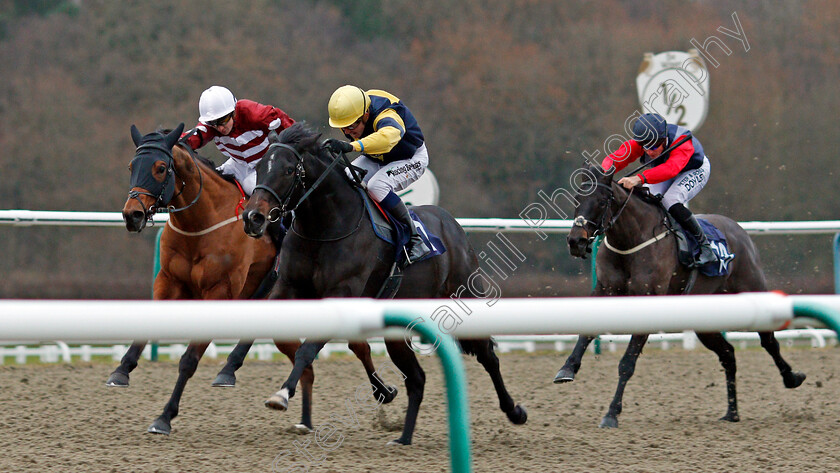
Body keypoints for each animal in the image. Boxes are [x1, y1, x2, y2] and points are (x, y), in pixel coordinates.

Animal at [110, 125, 394, 436]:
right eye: (131, 166)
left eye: (160, 168)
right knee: (313, 364)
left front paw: (165, 417)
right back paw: (306, 419)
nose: (132, 214)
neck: (202, 225)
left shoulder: (219, 292)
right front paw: (122, 370)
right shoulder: (169, 281)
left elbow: (189, 360)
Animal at [240, 123, 524, 444]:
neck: (325, 228)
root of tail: (452, 224)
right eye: (259, 167)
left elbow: (307, 349)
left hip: (464, 292)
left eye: (289, 170)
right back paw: (403, 438)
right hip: (399, 329)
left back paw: (514, 411)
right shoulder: (288, 286)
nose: (253, 217)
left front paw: (282, 393)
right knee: (417, 378)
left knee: (488, 356)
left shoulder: (341, 293)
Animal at [556, 163, 804, 428]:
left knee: (768, 341)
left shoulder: (648, 301)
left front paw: (612, 413)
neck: (630, 241)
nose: (576, 241)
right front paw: (567, 369)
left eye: (602, 201)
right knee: (728, 354)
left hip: (752, 287)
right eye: (577, 198)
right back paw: (732, 412)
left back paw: (792, 378)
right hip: (705, 319)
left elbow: (627, 363)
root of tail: (739, 230)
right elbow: (587, 332)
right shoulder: (604, 290)